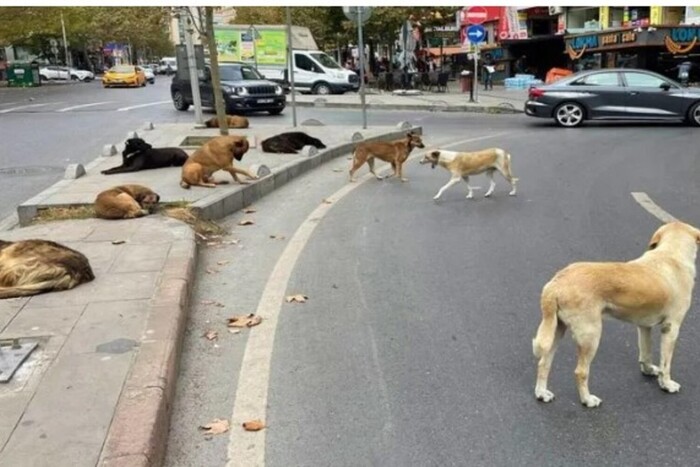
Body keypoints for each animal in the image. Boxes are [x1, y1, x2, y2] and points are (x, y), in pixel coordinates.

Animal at [532, 221, 700, 408]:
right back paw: (587, 400)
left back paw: (542, 393)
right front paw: (667, 384)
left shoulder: (644, 326)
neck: (671, 254)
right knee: (580, 372)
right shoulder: (671, 328)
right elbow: (666, 363)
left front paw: (648, 370)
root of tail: (556, 283)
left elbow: (646, 353)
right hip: (591, 336)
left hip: (556, 331)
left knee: (543, 363)